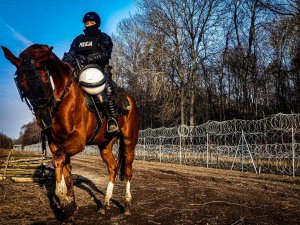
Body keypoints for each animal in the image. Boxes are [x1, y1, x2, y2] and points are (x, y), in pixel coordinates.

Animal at [1, 44, 139, 221]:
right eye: (22, 85)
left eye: (45, 80)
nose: (44, 120)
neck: (63, 98)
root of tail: (130, 100)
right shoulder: (55, 143)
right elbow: (65, 169)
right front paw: (70, 205)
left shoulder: (77, 140)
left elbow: (58, 159)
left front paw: (62, 197)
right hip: (105, 145)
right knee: (113, 168)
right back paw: (105, 204)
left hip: (129, 141)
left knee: (128, 170)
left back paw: (127, 205)